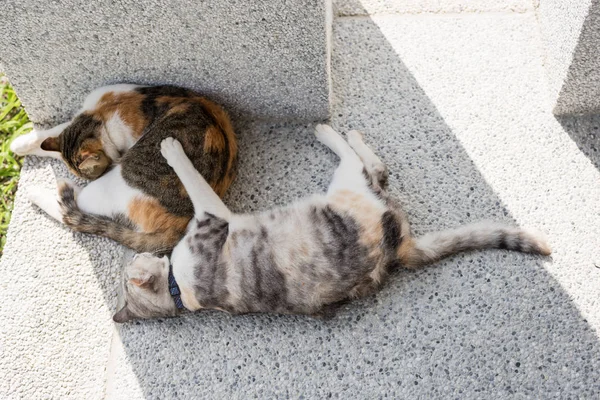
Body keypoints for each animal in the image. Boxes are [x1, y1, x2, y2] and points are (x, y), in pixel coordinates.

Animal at [16, 84, 237, 253]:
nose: (90, 178)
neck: (101, 117)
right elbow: (52, 134)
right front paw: (19, 144)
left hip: (111, 186)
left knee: (73, 209)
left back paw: (42, 191)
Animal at [54, 125, 552, 322]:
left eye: (125, 273)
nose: (134, 259)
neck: (180, 289)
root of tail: (398, 249)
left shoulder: (211, 218)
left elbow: (190, 175)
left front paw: (169, 147)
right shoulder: (212, 217)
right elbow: (189, 175)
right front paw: (171, 148)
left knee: (374, 169)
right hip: (345, 193)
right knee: (369, 167)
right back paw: (335, 132)